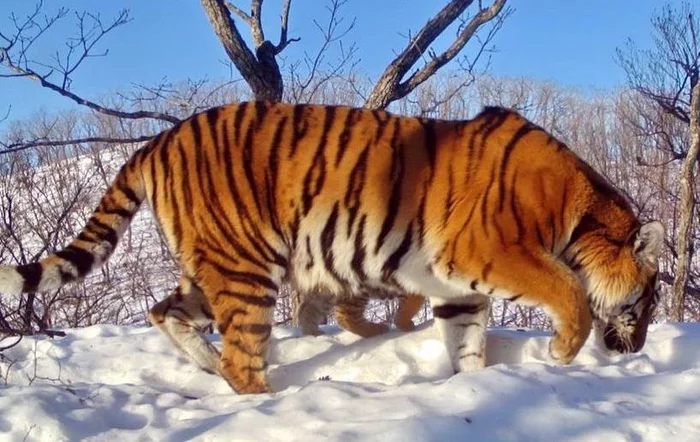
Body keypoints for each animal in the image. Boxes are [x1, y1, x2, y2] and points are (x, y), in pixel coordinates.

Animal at [292, 288, 424, 336]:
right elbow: (413, 301)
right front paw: (404, 323)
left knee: (306, 308)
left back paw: (313, 334)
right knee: (344, 316)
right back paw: (378, 329)